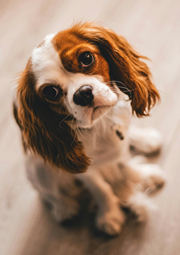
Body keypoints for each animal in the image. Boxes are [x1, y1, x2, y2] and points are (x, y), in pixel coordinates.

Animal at [13, 22, 166, 235]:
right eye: (51, 92)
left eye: (86, 58)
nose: (82, 94)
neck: (100, 125)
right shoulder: (85, 171)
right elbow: (101, 189)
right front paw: (109, 215)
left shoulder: (120, 146)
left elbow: (125, 165)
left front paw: (139, 175)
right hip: (37, 167)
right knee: (48, 192)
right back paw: (64, 207)